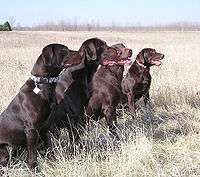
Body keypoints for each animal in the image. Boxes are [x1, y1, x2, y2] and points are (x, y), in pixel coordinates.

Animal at [0, 42, 81, 170]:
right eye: (64, 50)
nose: (81, 53)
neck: (43, 84)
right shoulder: (32, 130)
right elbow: (32, 157)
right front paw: (33, 170)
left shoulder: (45, 128)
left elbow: (50, 151)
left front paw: (53, 165)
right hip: (7, 148)